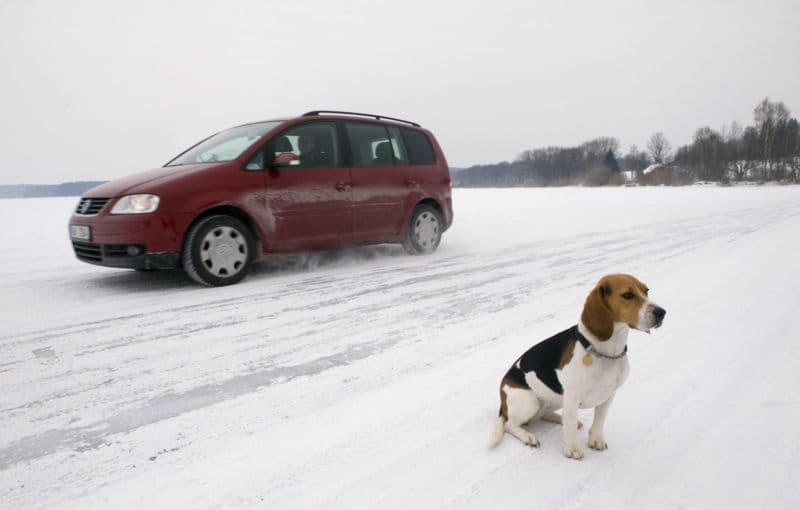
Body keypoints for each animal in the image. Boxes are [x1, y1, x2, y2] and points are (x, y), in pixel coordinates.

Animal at [488, 274, 668, 458]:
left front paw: (596, 440)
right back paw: (528, 436)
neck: (606, 352)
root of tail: (503, 403)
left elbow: (598, 422)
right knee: (510, 425)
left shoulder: (608, 395)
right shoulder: (572, 397)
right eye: (627, 295)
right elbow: (569, 426)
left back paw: (557, 418)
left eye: (646, 291)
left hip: (555, 399)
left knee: (543, 415)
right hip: (529, 402)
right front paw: (572, 448)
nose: (661, 312)